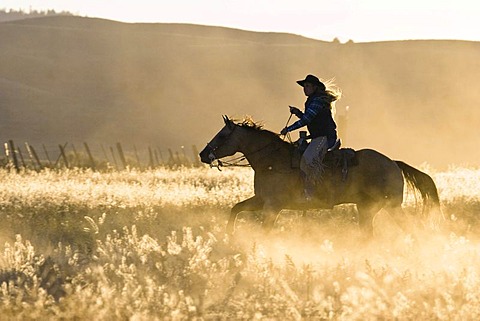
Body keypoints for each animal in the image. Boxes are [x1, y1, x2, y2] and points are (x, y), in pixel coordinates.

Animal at [199, 115, 442, 235]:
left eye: (222, 135)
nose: (203, 154)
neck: (272, 161)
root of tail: (393, 163)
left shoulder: (272, 206)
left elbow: (264, 230)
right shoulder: (261, 200)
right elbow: (235, 209)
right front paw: (230, 236)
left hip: (390, 206)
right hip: (366, 208)